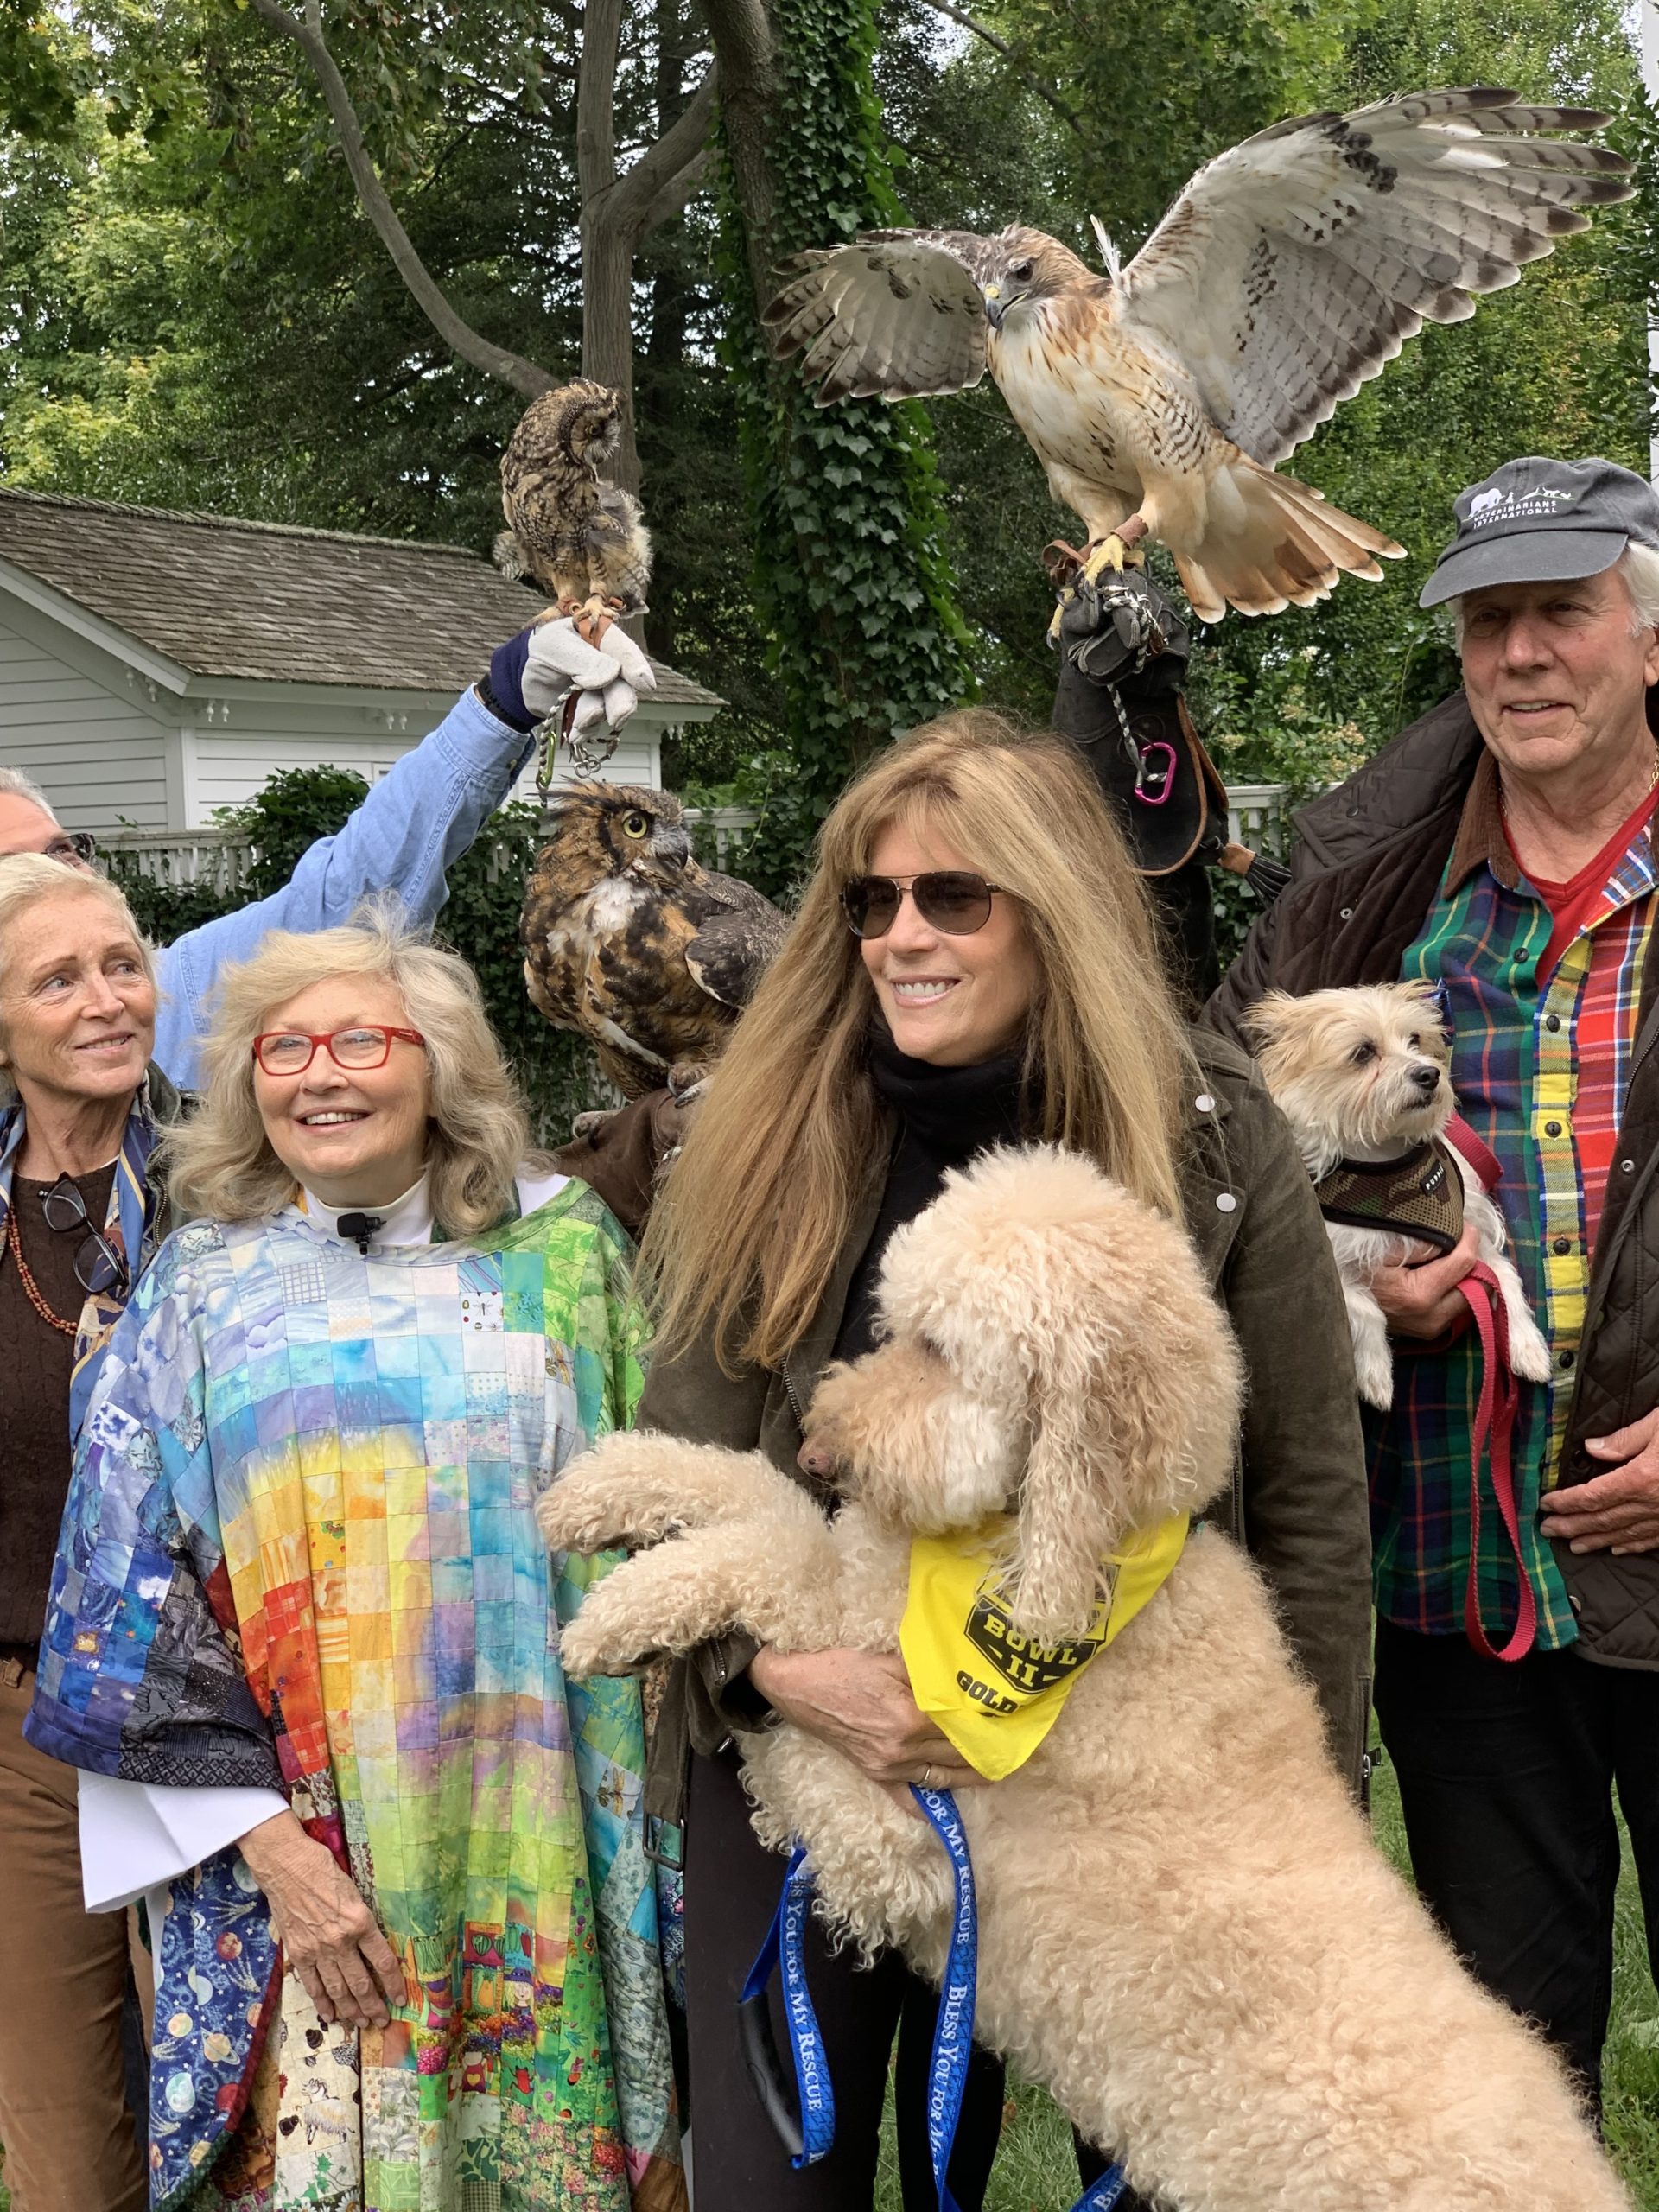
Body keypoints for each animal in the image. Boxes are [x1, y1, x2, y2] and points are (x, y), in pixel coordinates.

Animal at [1256, 986, 1557, 1415]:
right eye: (1363, 1052)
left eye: (1415, 1040)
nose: (1429, 1074)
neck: (1386, 1159)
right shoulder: (1329, 1262)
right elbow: (1365, 1308)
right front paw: (1376, 1375)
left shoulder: (1473, 1239)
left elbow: (1505, 1277)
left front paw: (1527, 1345)